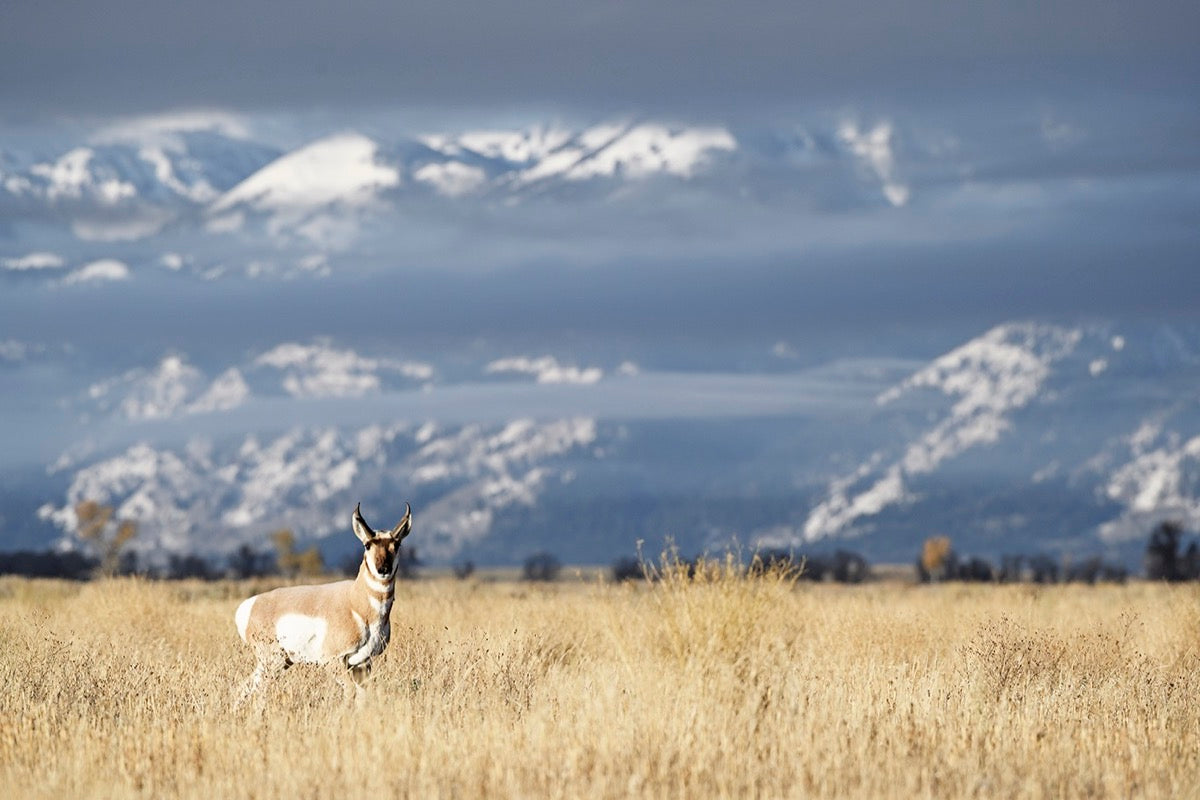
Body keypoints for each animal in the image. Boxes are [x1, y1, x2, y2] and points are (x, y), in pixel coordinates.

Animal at [233, 502, 411, 708]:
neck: (355, 603)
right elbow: (350, 692)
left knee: (243, 688)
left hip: (282, 662)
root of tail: (250, 604)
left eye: (396, 545)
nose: (383, 569)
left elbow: (363, 696)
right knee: (257, 691)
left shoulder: (362, 664)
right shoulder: (333, 661)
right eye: (367, 545)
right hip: (272, 662)